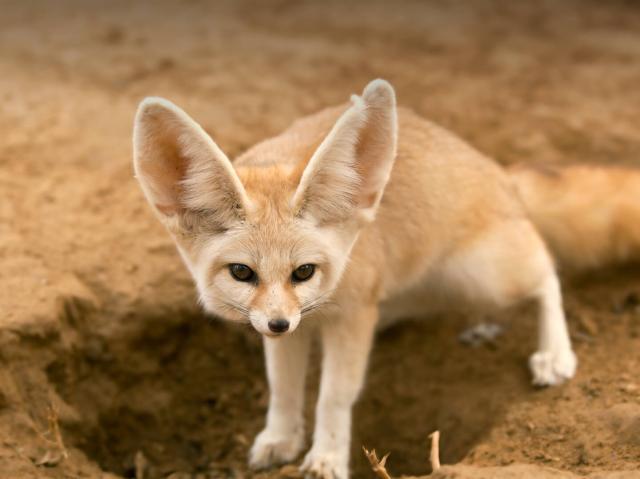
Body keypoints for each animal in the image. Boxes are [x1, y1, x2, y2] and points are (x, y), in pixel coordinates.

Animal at [133, 79, 640, 479]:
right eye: (242, 272)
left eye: (304, 271)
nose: (279, 324)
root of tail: (498, 171)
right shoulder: (287, 328)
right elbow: (283, 388)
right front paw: (280, 438)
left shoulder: (353, 316)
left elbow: (334, 396)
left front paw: (326, 458)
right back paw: (483, 323)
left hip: (486, 273)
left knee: (547, 273)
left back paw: (554, 353)